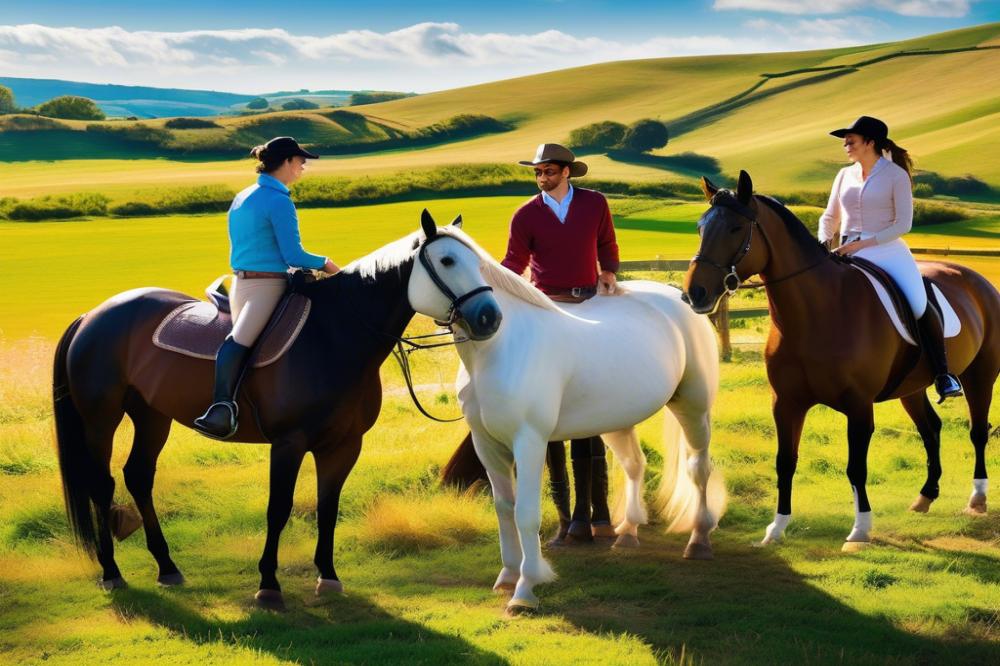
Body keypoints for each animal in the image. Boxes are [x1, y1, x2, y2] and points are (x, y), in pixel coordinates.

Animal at [52, 210, 500, 609]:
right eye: (447, 261)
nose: (490, 317)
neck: (334, 335)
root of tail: (93, 315)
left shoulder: (343, 445)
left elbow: (327, 508)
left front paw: (328, 577)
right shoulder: (288, 443)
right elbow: (278, 509)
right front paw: (268, 586)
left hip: (151, 416)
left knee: (139, 476)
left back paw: (167, 567)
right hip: (101, 420)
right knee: (101, 484)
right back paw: (112, 572)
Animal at [416, 224, 725, 614]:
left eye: (473, 262)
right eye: (447, 260)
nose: (488, 317)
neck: (500, 348)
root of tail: (680, 300)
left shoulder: (529, 442)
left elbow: (525, 513)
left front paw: (525, 589)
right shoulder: (487, 445)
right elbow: (504, 509)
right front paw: (507, 576)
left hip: (693, 408)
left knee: (698, 468)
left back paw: (699, 540)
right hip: (616, 419)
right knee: (634, 464)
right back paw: (627, 532)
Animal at [683, 170, 997, 550]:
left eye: (734, 228)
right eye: (701, 227)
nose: (695, 293)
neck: (817, 313)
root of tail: (977, 280)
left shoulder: (858, 406)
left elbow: (855, 467)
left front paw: (860, 531)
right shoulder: (785, 403)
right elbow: (785, 462)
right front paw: (776, 529)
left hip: (980, 375)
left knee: (977, 431)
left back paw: (977, 499)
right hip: (912, 389)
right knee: (931, 428)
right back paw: (925, 496)